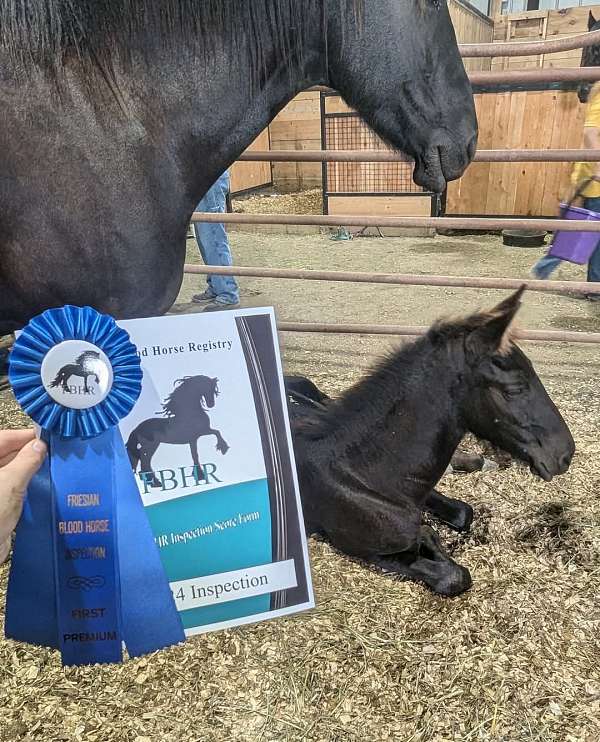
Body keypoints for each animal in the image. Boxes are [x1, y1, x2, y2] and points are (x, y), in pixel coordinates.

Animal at [288, 290, 576, 600]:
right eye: (514, 389)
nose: (565, 454)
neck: (361, 476)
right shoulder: (361, 548)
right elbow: (453, 575)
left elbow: (461, 513)